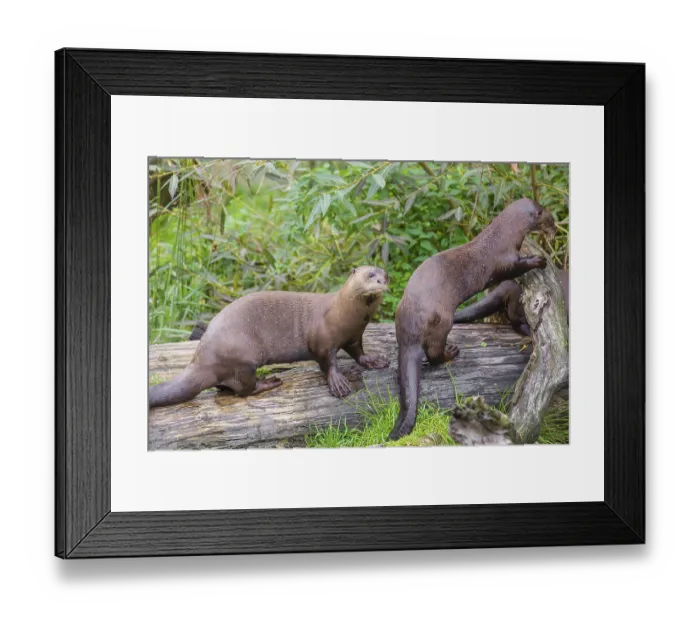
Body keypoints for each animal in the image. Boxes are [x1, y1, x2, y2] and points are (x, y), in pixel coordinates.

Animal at [149, 266, 390, 408]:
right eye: (370, 274)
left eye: (385, 274)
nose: (383, 281)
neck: (345, 313)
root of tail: (202, 356)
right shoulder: (321, 341)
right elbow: (327, 362)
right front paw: (338, 383)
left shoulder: (354, 336)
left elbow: (359, 353)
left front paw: (375, 360)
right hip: (243, 360)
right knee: (243, 391)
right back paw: (270, 382)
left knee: (225, 388)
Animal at [389, 198, 556, 440]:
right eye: (549, 220)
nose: (555, 231)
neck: (501, 237)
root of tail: (410, 327)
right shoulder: (504, 260)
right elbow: (516, 267)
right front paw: (538, 260)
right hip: (443, 321)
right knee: (433, 354)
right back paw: (451, 352)